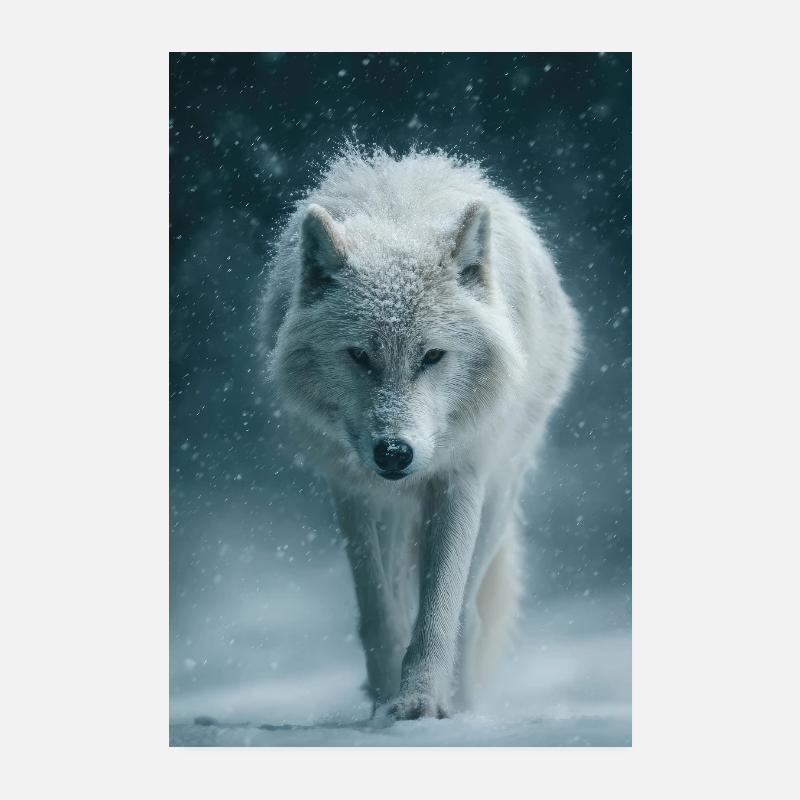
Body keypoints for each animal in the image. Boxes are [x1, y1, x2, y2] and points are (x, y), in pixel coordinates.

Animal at [258, 147, 580, 720]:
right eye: (359, 356)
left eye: (432, 356)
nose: (394, 453)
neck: (399, 219)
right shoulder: (353, 491)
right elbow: (380, 614)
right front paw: (385, 701)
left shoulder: (460, 477)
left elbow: (439, 614)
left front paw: (419, 703)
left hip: (500, 494)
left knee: (470, 614)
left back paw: (466, 707)